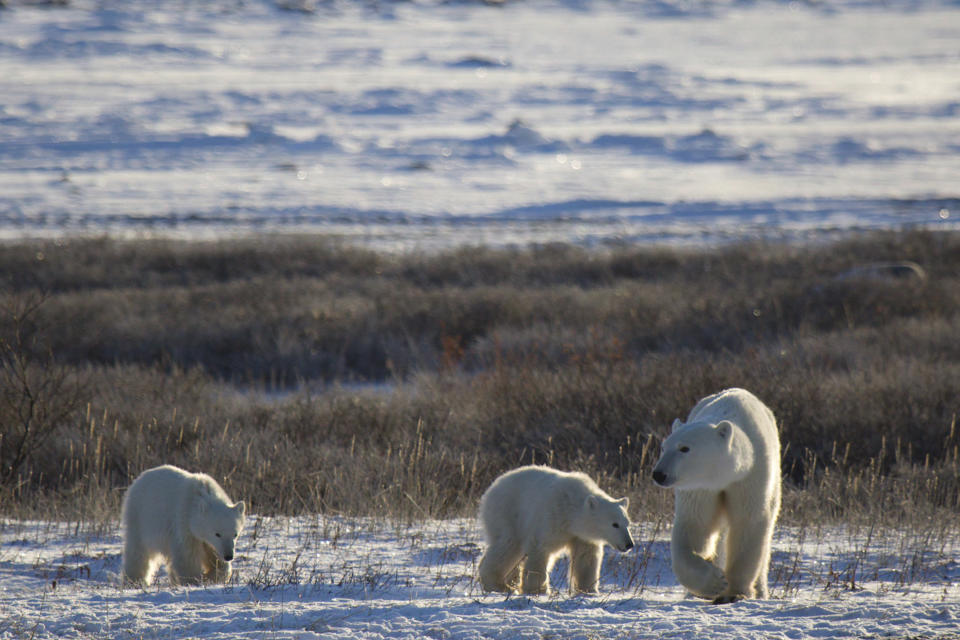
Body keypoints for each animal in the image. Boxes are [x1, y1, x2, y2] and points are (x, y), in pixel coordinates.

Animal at [652, 388, 780, 604]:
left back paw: (761, 591)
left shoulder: (750, 476)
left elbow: (748, 524)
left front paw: (735, 592)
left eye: (684, 448)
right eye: (663, 447)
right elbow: (695, 525)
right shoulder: (700, 488)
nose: (659, 474)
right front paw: (714, 582)